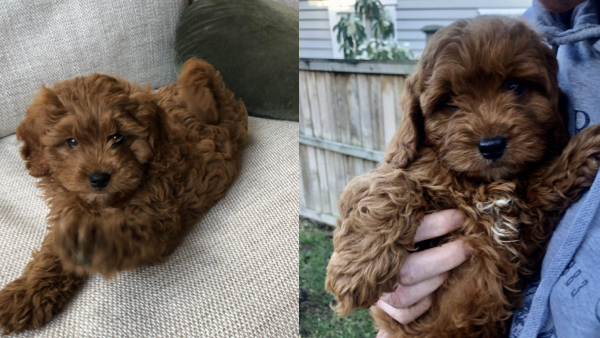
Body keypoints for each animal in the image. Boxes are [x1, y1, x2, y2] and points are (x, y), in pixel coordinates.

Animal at [0, 56, 247, 334]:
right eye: (71, 142)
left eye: (117, 137)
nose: (99, 178)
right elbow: (50, 257)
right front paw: (25, 295)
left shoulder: (157, 221)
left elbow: (121, 235)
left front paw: (90, 241)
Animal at [326, 16, 600, 338]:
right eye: (450, 102)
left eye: (516, 87)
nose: (492, 145)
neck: (482, 183)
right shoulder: (400, 168)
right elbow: (392, 184)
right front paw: (355, 274)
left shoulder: (526, 232)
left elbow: (542, 185)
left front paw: (586, 148)